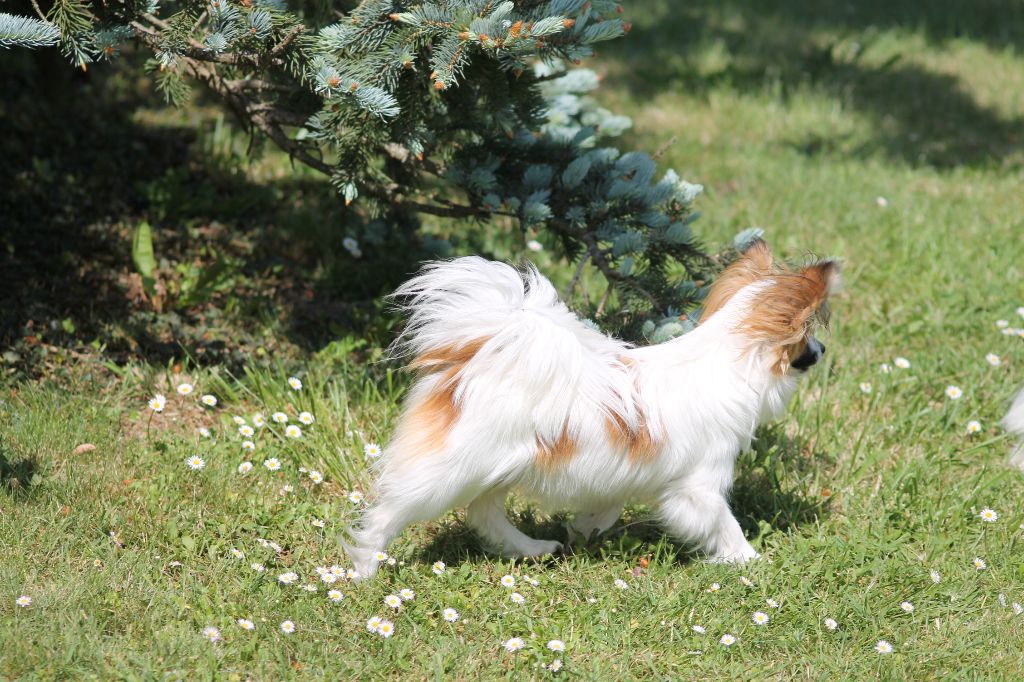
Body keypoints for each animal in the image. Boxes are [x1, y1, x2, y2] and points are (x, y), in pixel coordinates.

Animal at [346, 236, 839, 577]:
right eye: (805, 336)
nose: (822, 350)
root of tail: (471, 358)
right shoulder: (698, 487)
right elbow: (724, 523)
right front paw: (750, 560)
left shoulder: (621, 477)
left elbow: (605, 509)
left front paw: (583, 531)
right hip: (448, 471)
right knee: (390, 512)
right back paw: (365, 569)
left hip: (497, 465)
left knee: (483, 513)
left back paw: (532, 548)